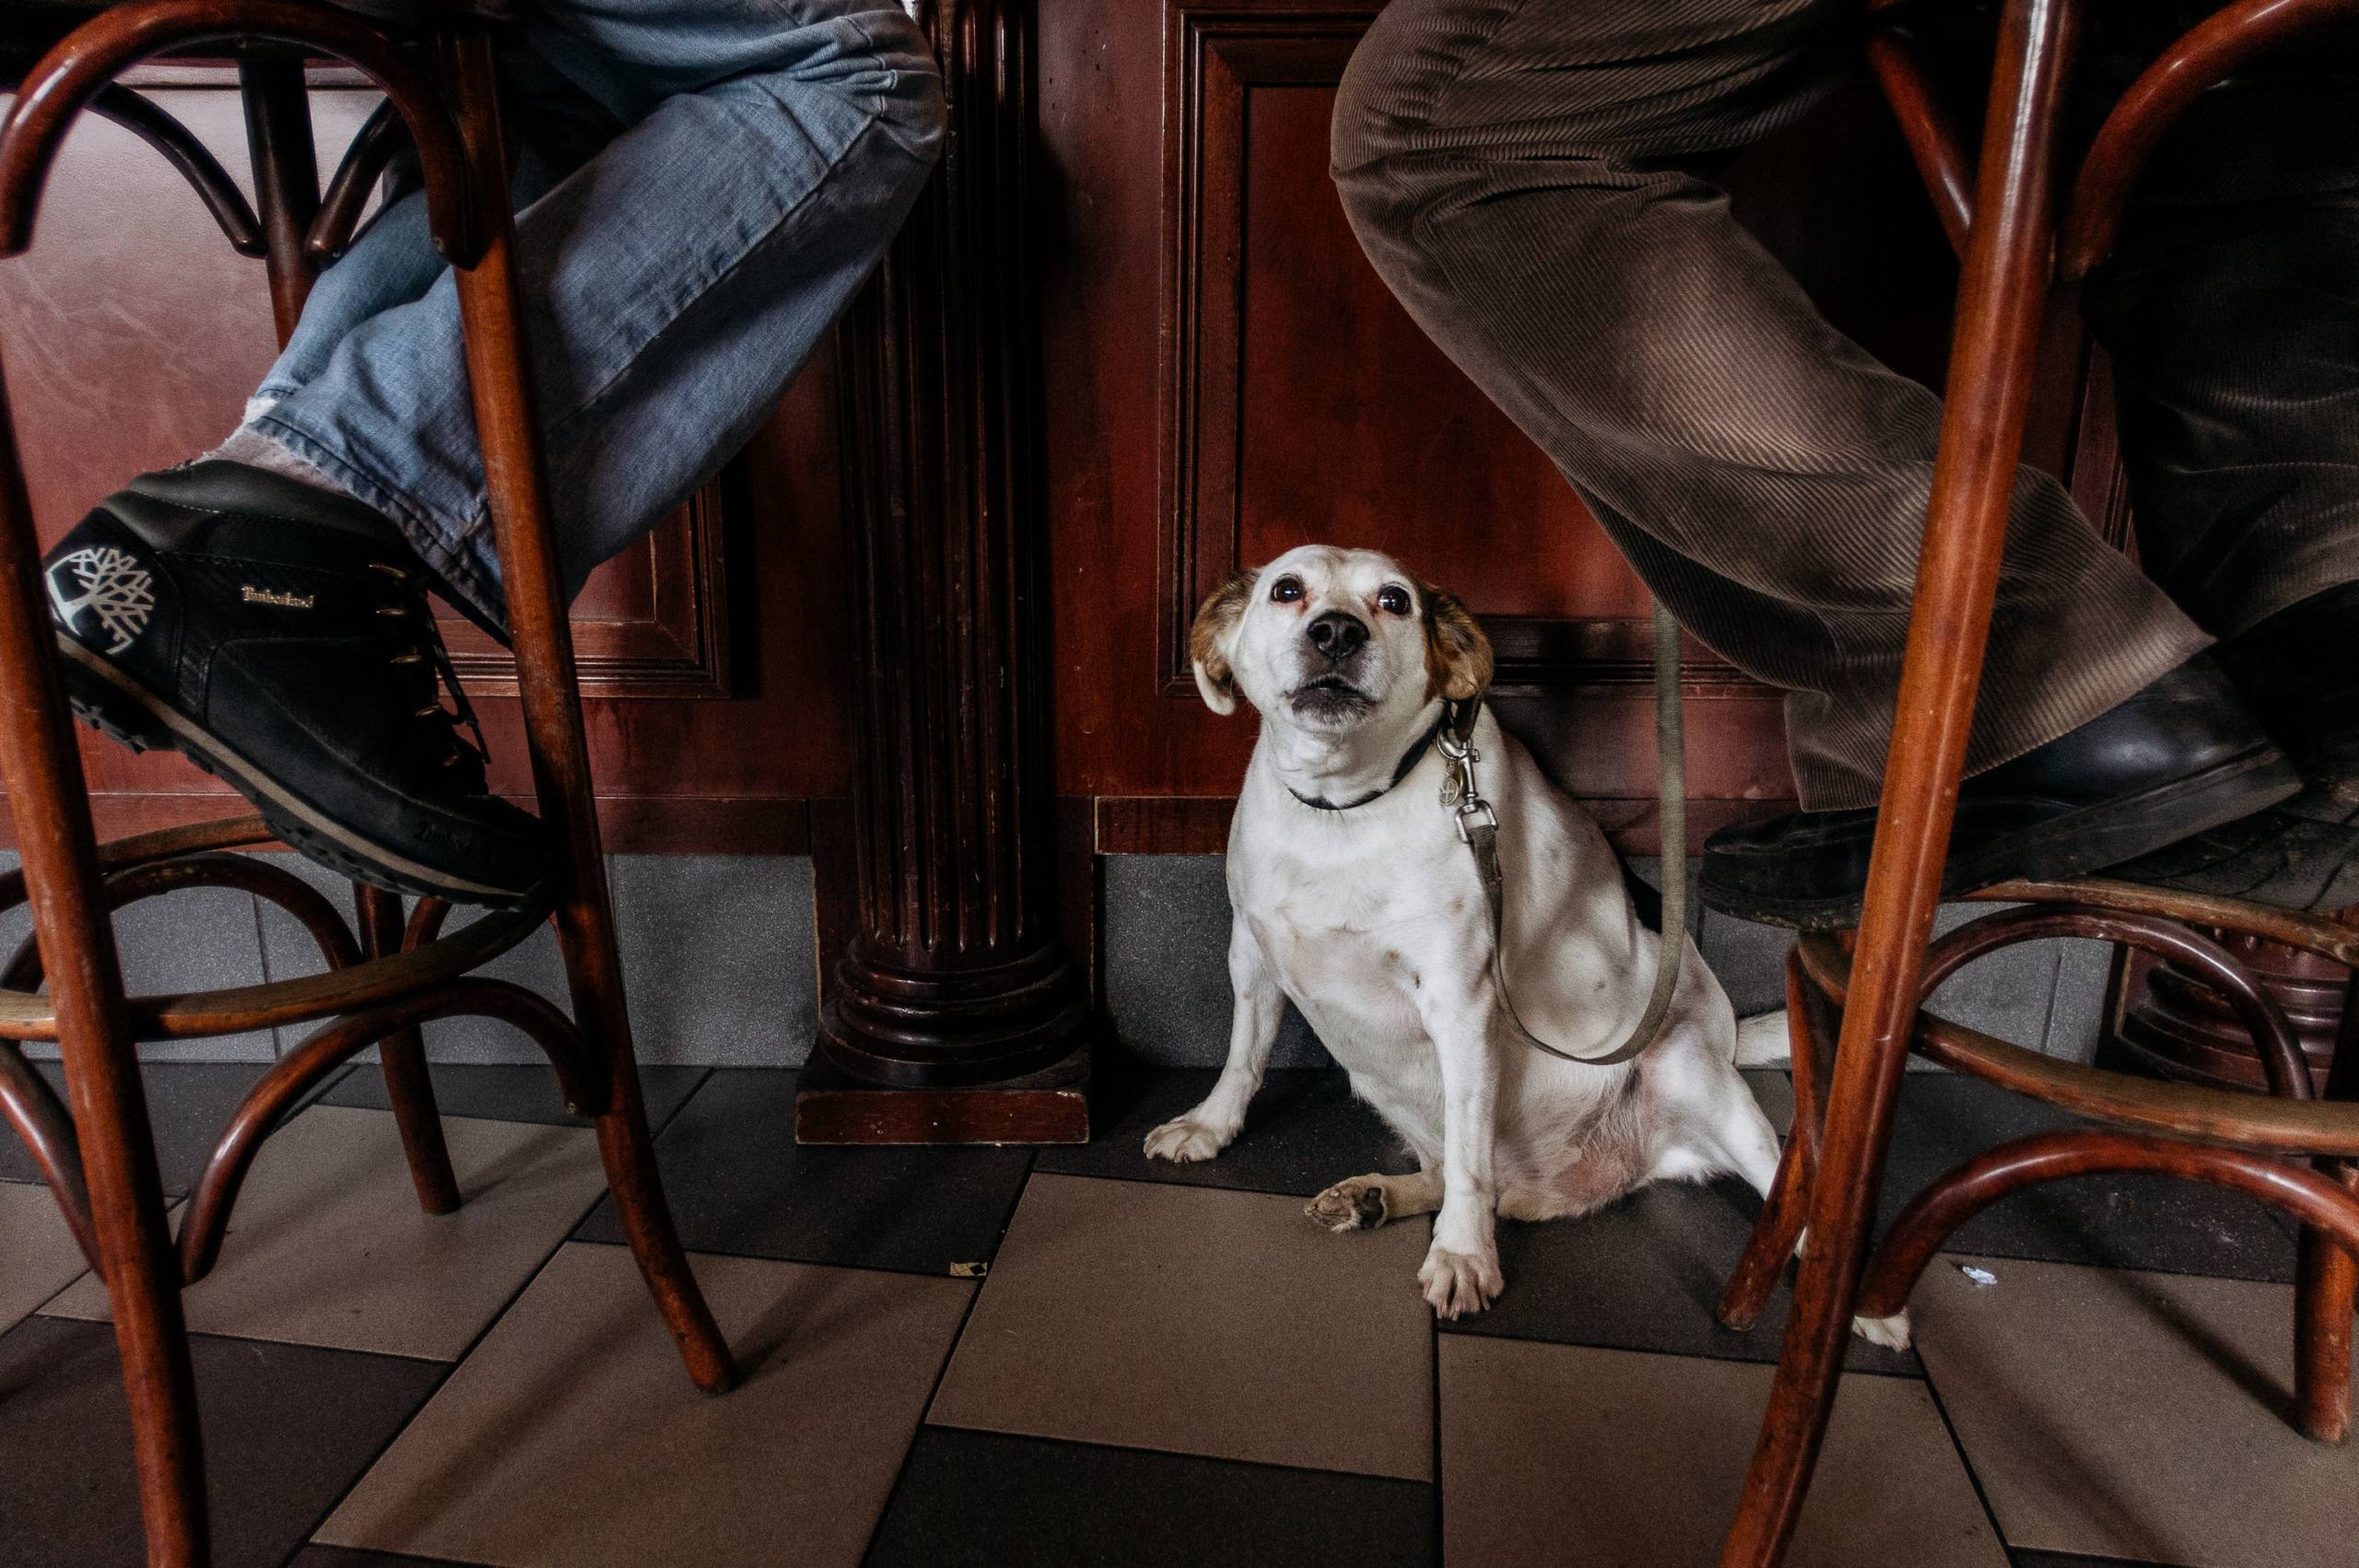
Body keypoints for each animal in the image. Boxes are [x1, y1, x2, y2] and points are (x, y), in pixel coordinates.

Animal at [1142, 544, 1896, 1339]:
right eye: (1287, 590)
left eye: (1395, 600)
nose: (1337, 633)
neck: (1343, 811)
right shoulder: (1252, 955)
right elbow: (1243, 1058)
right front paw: (1209, 1126)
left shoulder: (1461, 1007)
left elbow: (1470, 1159)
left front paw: (1465, 1258)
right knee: (1451, 1171)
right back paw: (1377, 1197)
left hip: (1690, 1070)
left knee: (1773, 1189)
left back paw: (1858, 1305)